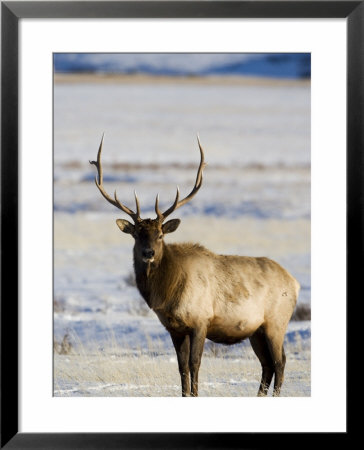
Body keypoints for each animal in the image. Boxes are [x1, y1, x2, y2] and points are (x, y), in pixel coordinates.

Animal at [89, 134, 300, 398]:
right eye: (137, 234)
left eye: (160, 235)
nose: (148, 253)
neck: (166, 294)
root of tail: (294, 282)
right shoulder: (174, 328)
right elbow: (181, 367)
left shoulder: (201, 320)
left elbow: (195, 363)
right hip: (256, 330)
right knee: (267, 365)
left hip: (277, 321)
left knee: (280, 362)